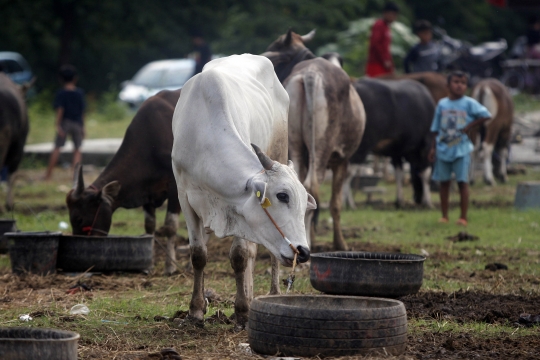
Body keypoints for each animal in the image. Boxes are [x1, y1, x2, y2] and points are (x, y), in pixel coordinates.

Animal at [66, 90, 181, 276]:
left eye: (79, 219)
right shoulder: (147, 192)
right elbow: (149, 227)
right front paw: (149, 264)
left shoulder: (176, 187)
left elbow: (170, 226)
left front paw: (170, 267)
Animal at [172, 54, 316, 326]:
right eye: (282, 195)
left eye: (304, 204)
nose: (303, 252)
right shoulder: (184, 196)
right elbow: (198, 254)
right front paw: (196, 310)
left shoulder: (238, 207)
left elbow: (240, 255)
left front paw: (241, 310)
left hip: (281, 145)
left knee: (259, 254)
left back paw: (271, 294)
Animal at [262, 30, 364, 250]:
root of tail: (310, 74)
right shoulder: (342, 160)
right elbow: (334, 204)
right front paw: (339, 243)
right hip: (322, 150)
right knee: (313, 186)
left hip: (297, 147)